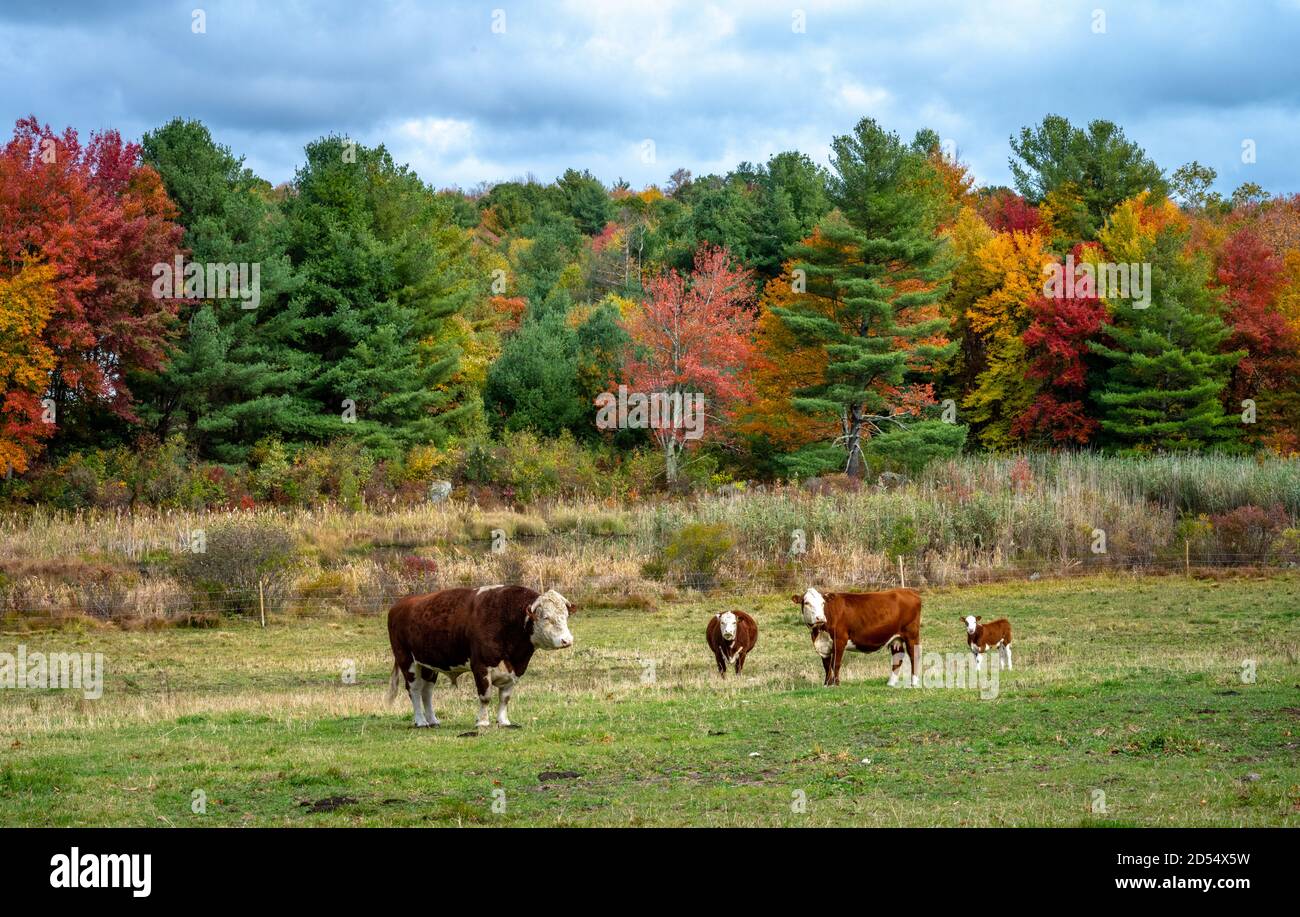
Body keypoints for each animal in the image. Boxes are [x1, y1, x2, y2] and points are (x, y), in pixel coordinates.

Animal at [379, 582, 574, 728]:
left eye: (565, 616)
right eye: (546, 617)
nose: (567, 640)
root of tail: (400, 604)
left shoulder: (515, 669)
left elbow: (505, 697)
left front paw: (503, 721)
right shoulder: (481, 666)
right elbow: (485, 696)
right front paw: (482, 722)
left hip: (429, 664)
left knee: (427, 692)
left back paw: (433, 720)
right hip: (407, 661)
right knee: (414, 690)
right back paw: (420, 721)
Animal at [790, 587, 925, 686]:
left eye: (823, 603)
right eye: (806, 603)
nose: (820, 618)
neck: (819, 632)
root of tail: (908, 590)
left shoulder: (840, 640)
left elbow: (835, 663)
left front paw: (836, 684)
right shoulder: (823, 645)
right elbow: (827, 666)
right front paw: (826, 684)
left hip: (911, 634)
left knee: (914, 655)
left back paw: (914, 682)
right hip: (896, 638)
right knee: (898, 658)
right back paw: (891, 683)